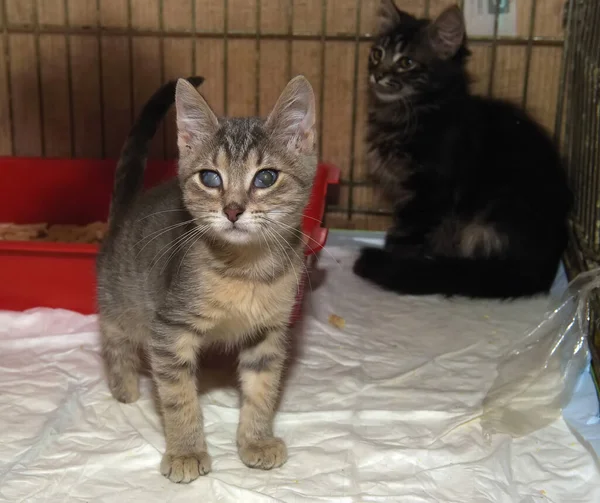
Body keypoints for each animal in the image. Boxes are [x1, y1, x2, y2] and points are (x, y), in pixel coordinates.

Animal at [97, 76, 318, 484]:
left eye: (266, 177)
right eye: (210, 178)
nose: (232, 210)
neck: (246, 269)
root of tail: (126, 211)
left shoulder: (269, 332)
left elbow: (263, 389)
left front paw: (256, 440)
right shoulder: (169, 329)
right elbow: (178, 396)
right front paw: (186, 450)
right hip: (121, 300)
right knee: (114, 337)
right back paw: (124, 385)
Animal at [354, 0, 576, 300]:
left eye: (406, 62)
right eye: (377, 54)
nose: (377, 76)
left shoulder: (430, 192)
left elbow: (405, 234)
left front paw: (394, 261)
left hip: (486, 220)